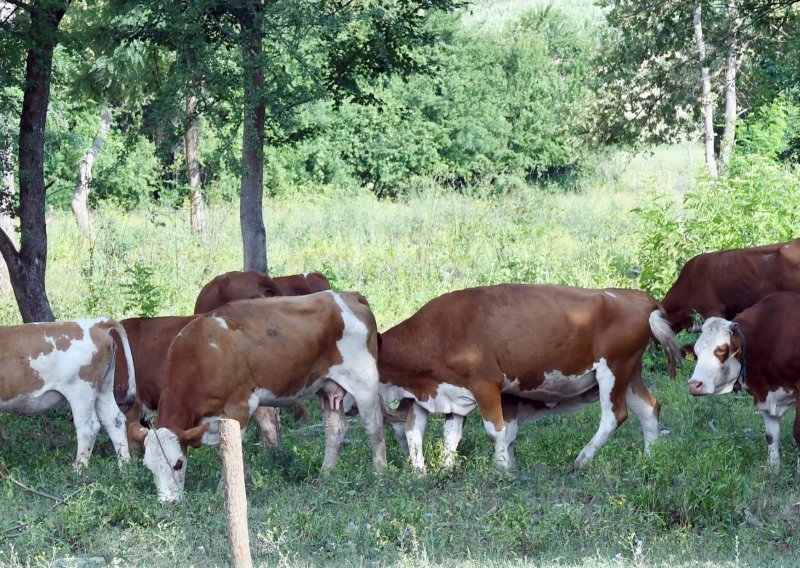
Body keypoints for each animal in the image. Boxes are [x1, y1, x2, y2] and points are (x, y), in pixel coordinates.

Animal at [0, 318, 136, 468]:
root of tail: (95, 323)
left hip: (81, 391)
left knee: (88, 428)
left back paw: (78, 467)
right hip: (104, 387)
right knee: (114, 420)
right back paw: (124, 466)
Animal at [131, 292, 388, 502]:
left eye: (178, 464)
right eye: (149, 467)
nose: (169, 503)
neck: (202, 354)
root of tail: (349, 295)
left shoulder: (240, 406)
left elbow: (228, 451)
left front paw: (225, 491)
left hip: (364, 380)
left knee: (374, 426)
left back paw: (380, 472)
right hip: (327, 387)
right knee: (335, 430)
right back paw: (325, 475)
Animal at [378, 284, 680, 470]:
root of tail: (641, 297)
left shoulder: (485, 384)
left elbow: (496, 430)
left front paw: (500, 468)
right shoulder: (452, 392)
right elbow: (450, 435)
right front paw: (446, 469)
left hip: (614, 370)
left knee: (614, 416)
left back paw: (582, 460)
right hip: (630, 372)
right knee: (649, 408)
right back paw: (650, 458)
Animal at [688, 290, 800, 468]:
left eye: (721, 350)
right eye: (696, 352)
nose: (694, 385)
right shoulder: (766, 396)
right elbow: (771, 435)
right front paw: (773, 470)